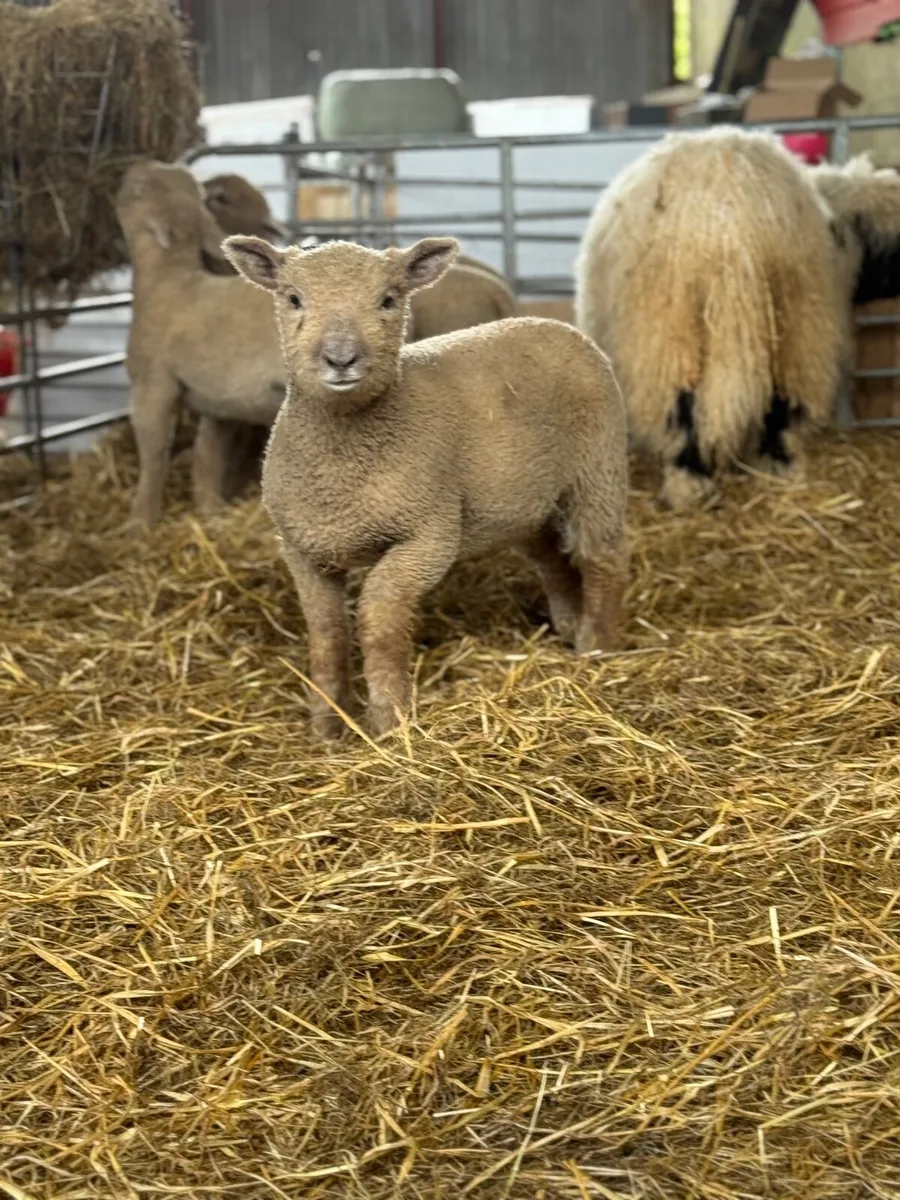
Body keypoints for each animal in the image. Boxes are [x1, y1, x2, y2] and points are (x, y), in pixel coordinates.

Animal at [115, 161, 286, 525]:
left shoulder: (152, 384)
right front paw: (210, 510)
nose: (133, 166)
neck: (170, 280)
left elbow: (154, 451)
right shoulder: (219, 401)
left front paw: (141, 520)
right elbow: (208, 454)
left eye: (139, 189)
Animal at [223, 233, 629, 738]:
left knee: (602, 556)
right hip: (523, 502)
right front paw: (327, 725)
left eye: (388, 300)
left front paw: (389, 723)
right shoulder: (302, 549)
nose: (340, 359)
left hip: (598, 465)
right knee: (553, 558)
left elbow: (378, 617)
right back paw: (570, 625)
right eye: (294, 298)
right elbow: (326, 633)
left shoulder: (428, 536)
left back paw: (598, 645)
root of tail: (553, 323)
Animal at [575, 127, 848, 511]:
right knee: (782, 405)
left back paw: (687, 486)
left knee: (684, 412)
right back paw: (779, 471)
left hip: (670, 334)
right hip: (800, 319)